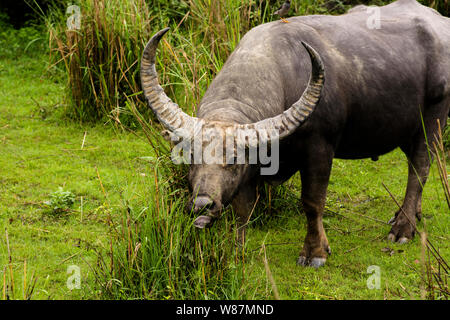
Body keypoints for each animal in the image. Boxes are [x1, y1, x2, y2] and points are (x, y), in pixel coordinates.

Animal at [139, 0, 448, 268]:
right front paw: (236, 252)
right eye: (191, 159)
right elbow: (243, 208)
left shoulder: (320, 148)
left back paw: (403, 229)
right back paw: (410, 215)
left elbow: (312, 203)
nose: (202, 204)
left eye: (233, 161)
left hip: (433, 118)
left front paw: (315, 253)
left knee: (420, 166)